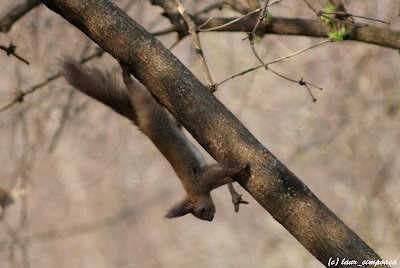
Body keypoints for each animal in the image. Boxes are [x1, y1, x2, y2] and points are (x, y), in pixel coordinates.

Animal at [59, 57, 248, 221]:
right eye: (201, 211)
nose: (210, 218)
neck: (195, 191)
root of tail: (141, 123)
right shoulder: (206, 178)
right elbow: (222, 175)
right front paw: (236, 172)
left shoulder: (202, 179)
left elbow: (221, 173)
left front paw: (238, 169)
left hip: (148, 108)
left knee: (136, 90)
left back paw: (128, 75)